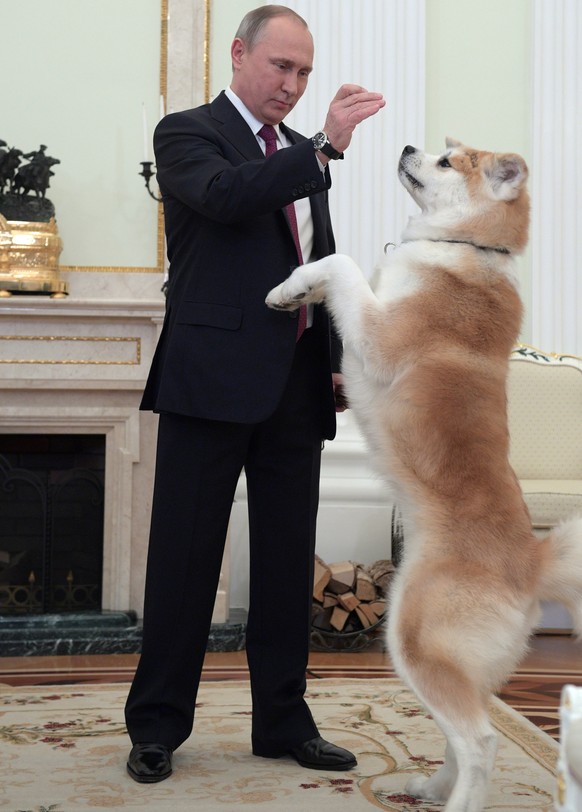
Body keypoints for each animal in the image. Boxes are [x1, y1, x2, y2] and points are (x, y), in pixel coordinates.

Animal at [268, 141, 582, 812]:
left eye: (446, 162)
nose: (410, 145)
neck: (465, 248)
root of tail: (531, 561)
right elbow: (336, 270)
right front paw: (292, 292)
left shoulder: (378, 333)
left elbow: (340, 263)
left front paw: (292, 284)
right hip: (442, 654)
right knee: (463, 734)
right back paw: (433, 786)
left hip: (412, 639)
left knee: (482, 741)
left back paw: (458, 799)